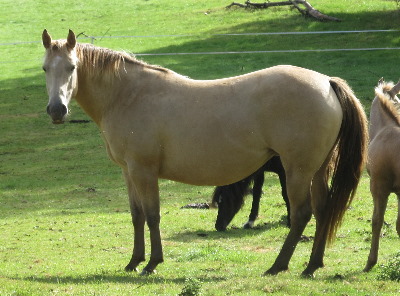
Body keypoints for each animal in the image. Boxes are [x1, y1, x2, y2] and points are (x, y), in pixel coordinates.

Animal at [42, 30, 368, 278]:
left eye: (72, 67)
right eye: (45, 68)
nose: (57, 110)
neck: (129, 95)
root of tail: (326, 82)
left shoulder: (143, 171)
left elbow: (152, 215)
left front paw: (151, 264)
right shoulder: (128, 171)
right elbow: (137, 215)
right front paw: (134, 262)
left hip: (297, 171)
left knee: (301, 214)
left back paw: (278, 266)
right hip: (317, 170)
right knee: (324, 210)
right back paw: (312, 265)